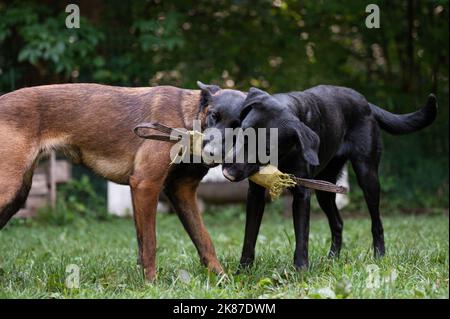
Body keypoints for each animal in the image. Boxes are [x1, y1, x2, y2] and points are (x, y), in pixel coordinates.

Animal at [0, 83, 223, 282]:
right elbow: (150, 244)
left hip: (18, 194)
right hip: (9, 189)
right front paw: (151, 284)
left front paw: (220, 278)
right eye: (213, 116)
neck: (186, 117)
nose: (212, 151)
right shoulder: (146, 184)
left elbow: (203, 239)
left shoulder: (181, 192)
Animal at [200, 84, 436, 272]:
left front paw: (301, 271)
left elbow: (302, 236)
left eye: (266, 149)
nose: (228, 173)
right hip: (325, 188)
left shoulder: (302, 193)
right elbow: (250, 235)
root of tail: (365, 103)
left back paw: (379, 256)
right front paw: (243, 271)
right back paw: (332, 259)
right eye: (242, 133)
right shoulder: (256, 193)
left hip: (367, 175)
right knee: (338, 222)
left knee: (376, 222)